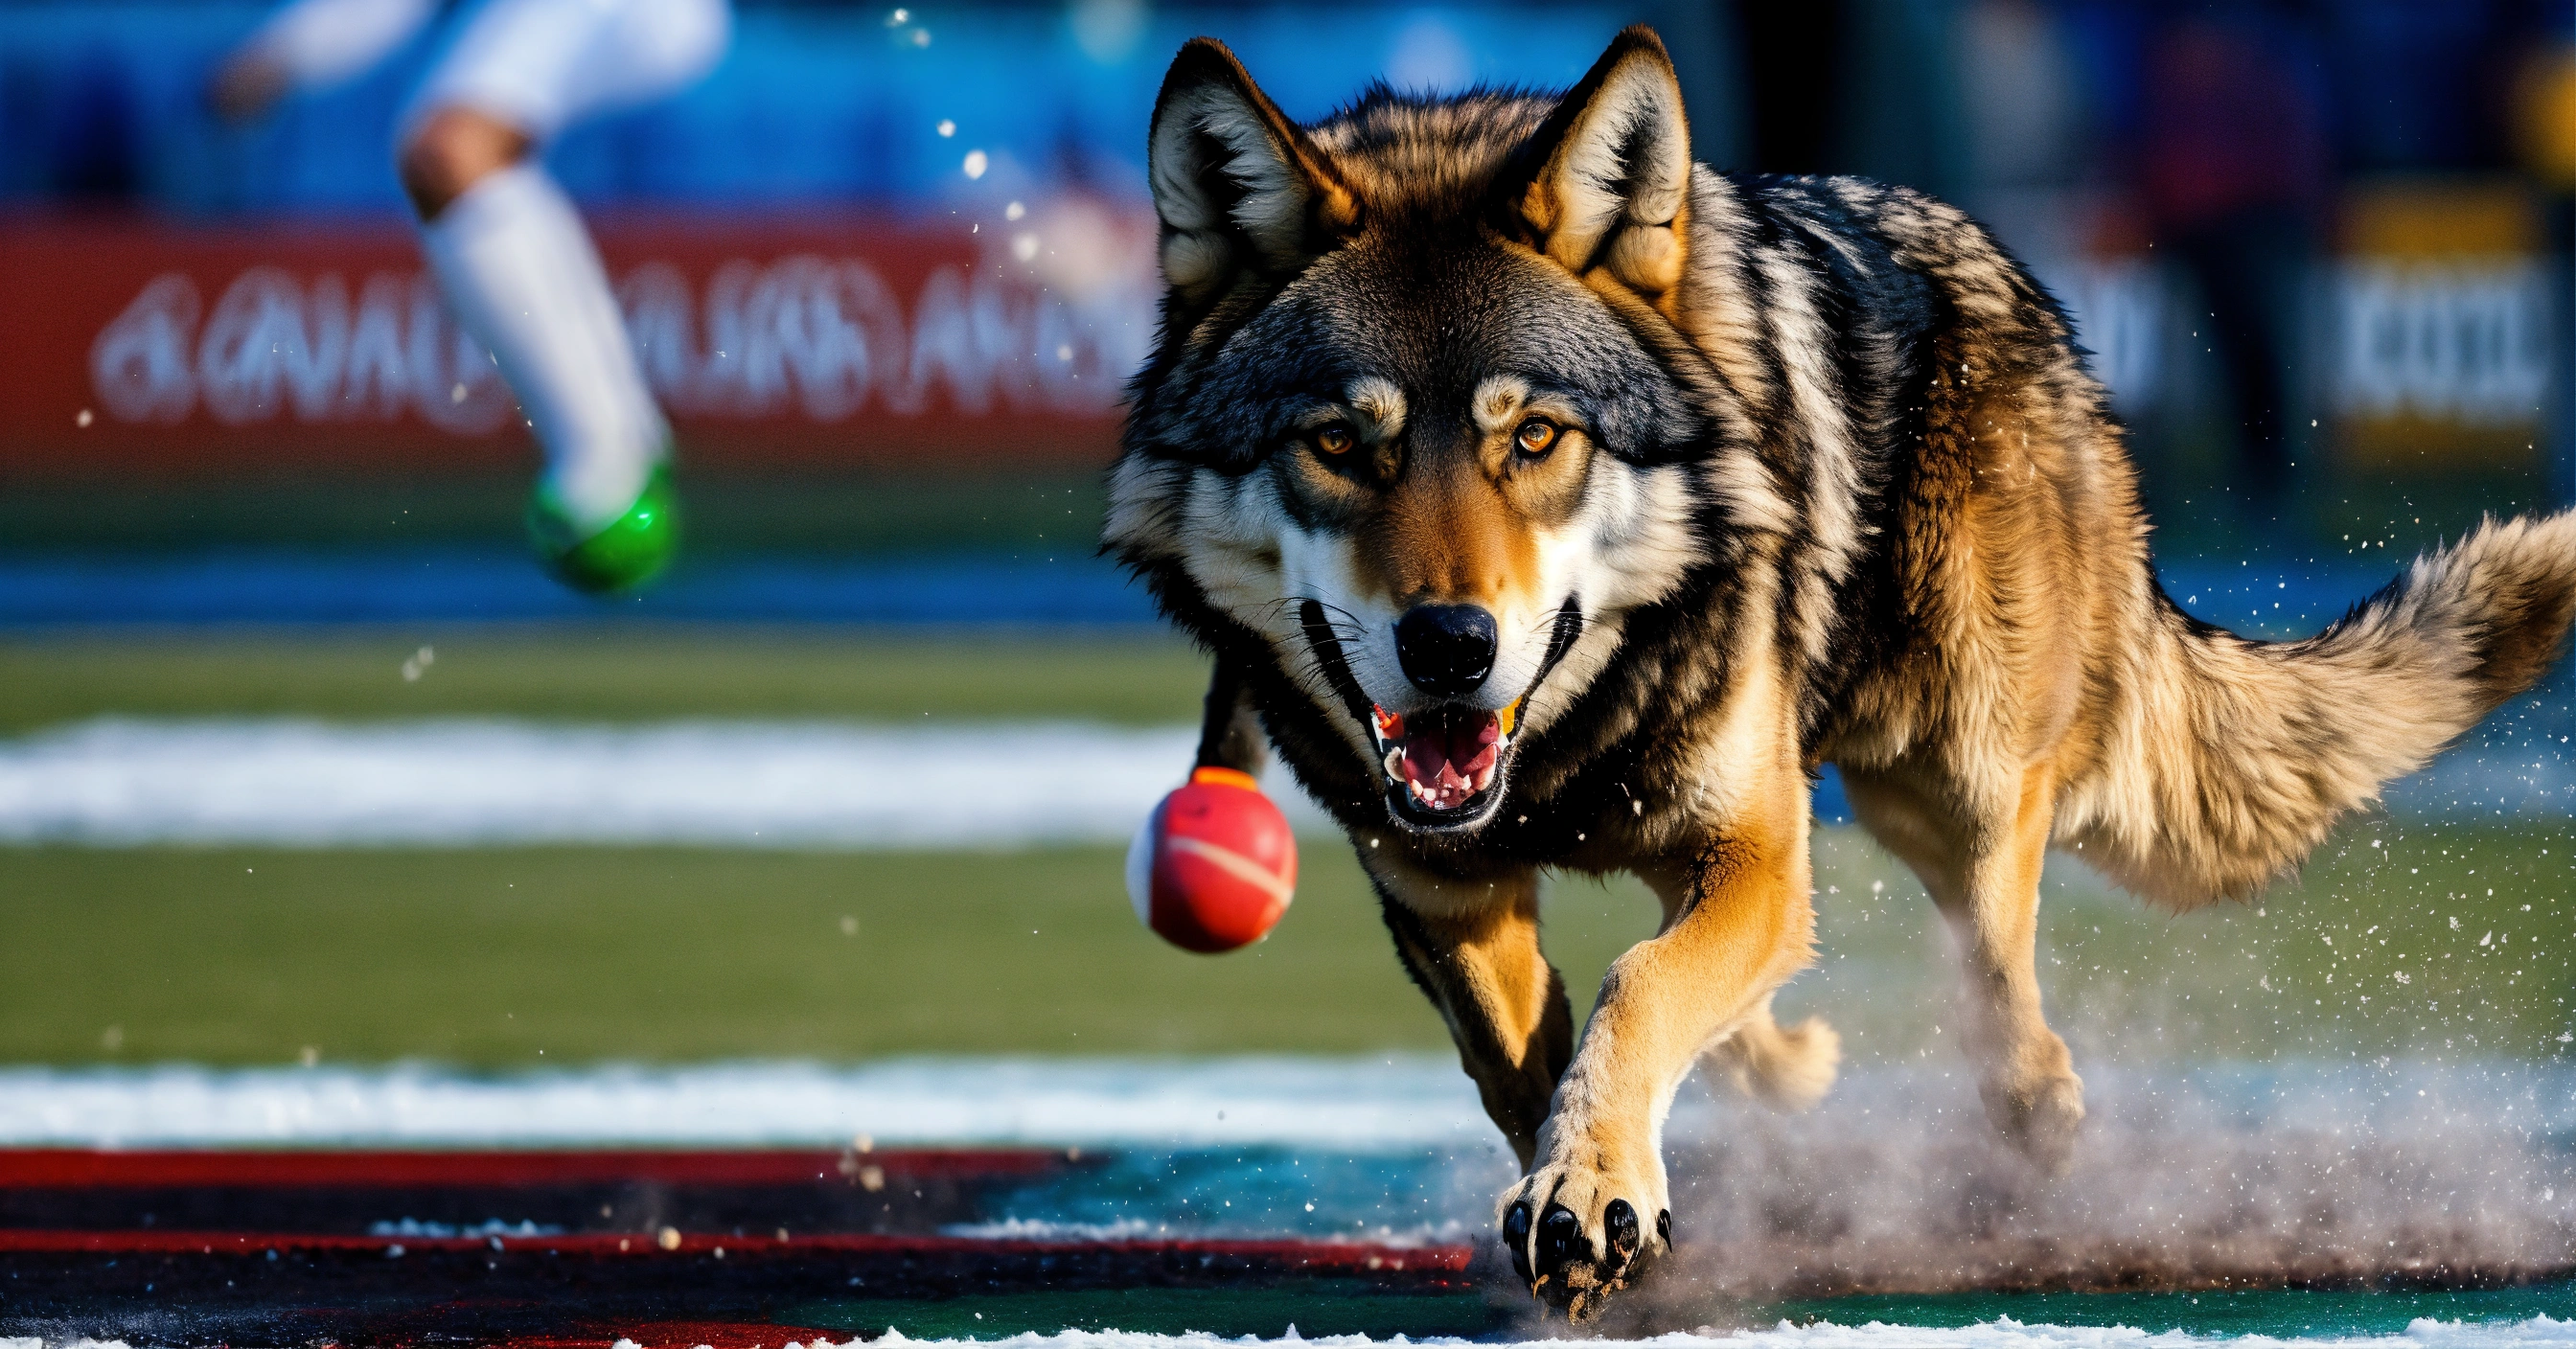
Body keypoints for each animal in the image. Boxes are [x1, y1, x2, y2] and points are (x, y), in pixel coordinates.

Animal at [1104, 25, 2576, 1318]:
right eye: (1338, 446)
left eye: (1534, 438)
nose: (1452, 647)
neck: (1562, 755)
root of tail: (2053, 327)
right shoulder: (1447, 897)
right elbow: (1538, 1056)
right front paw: (1594, 1194)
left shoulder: (1754, 849)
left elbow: (1640, 990)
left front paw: (1592, 1191)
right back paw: (1786, 1067)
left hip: (1944, 783)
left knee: (2002, 999)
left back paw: (2030, 1119)